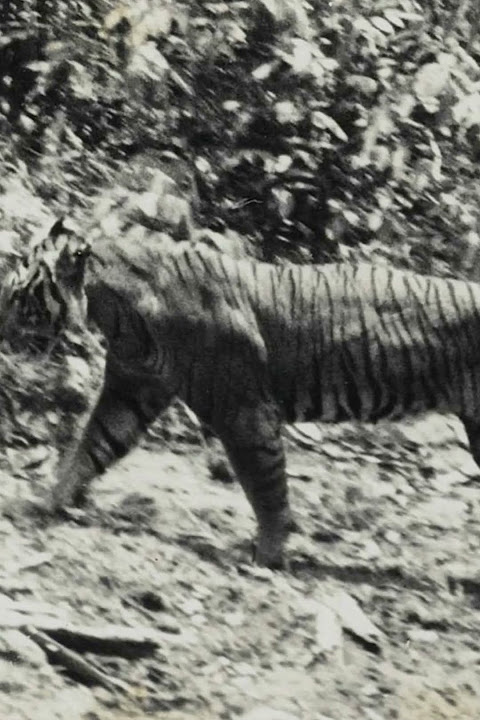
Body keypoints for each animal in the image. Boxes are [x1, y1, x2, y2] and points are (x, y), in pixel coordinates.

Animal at [7, 218, 480, 568]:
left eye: (18, 279)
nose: (0, 313)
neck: (117, 312)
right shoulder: (131, 389)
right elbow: (91, 447)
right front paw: (48, 501)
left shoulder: (243, 411)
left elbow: (266, 487)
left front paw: (267, 556)